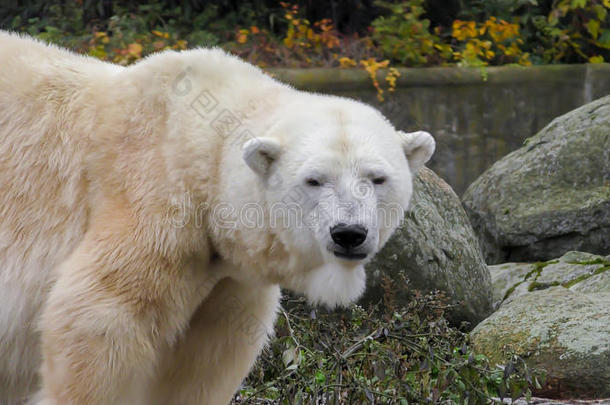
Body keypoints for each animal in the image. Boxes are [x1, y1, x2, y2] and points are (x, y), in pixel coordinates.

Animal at [0, 31, 432, 404]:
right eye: (314, 179)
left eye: (376, 178)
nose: (349, 234)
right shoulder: (153, 203)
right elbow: (98, 318)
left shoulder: (228, 277)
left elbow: (208, 357)